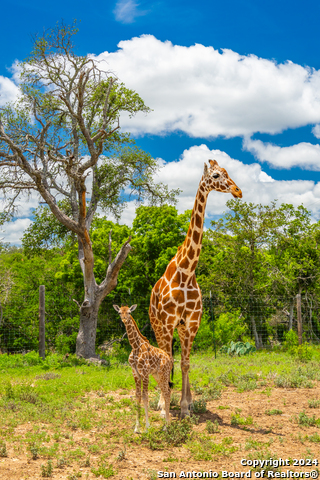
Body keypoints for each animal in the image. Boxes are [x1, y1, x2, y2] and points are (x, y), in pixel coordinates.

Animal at [113, 306, 172, 434]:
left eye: (129, 312)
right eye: (119, 312)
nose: (124, 320)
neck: (135, 347)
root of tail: (170, 359)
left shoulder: (144, 373)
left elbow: (145, 396)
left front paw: (147, 427)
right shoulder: (135, 373)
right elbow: (137, 396)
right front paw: (136, 427)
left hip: (163, 374)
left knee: (166, 392)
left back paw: (166, 426)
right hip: (157, 375)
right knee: (167, 391)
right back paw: (167, 423)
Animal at [149, 159, 241, 418]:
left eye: (228, 172)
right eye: (217, 175)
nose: (238, 191)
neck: (187, 271)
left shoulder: (190, 323)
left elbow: (186, 363)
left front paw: (184, 408)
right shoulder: (168, 322)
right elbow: (169, 361)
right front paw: (165, 408)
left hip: (181, 329)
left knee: (180, 360)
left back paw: (185, 402)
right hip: (157, 326)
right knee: (163, 356)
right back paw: (160, 402)